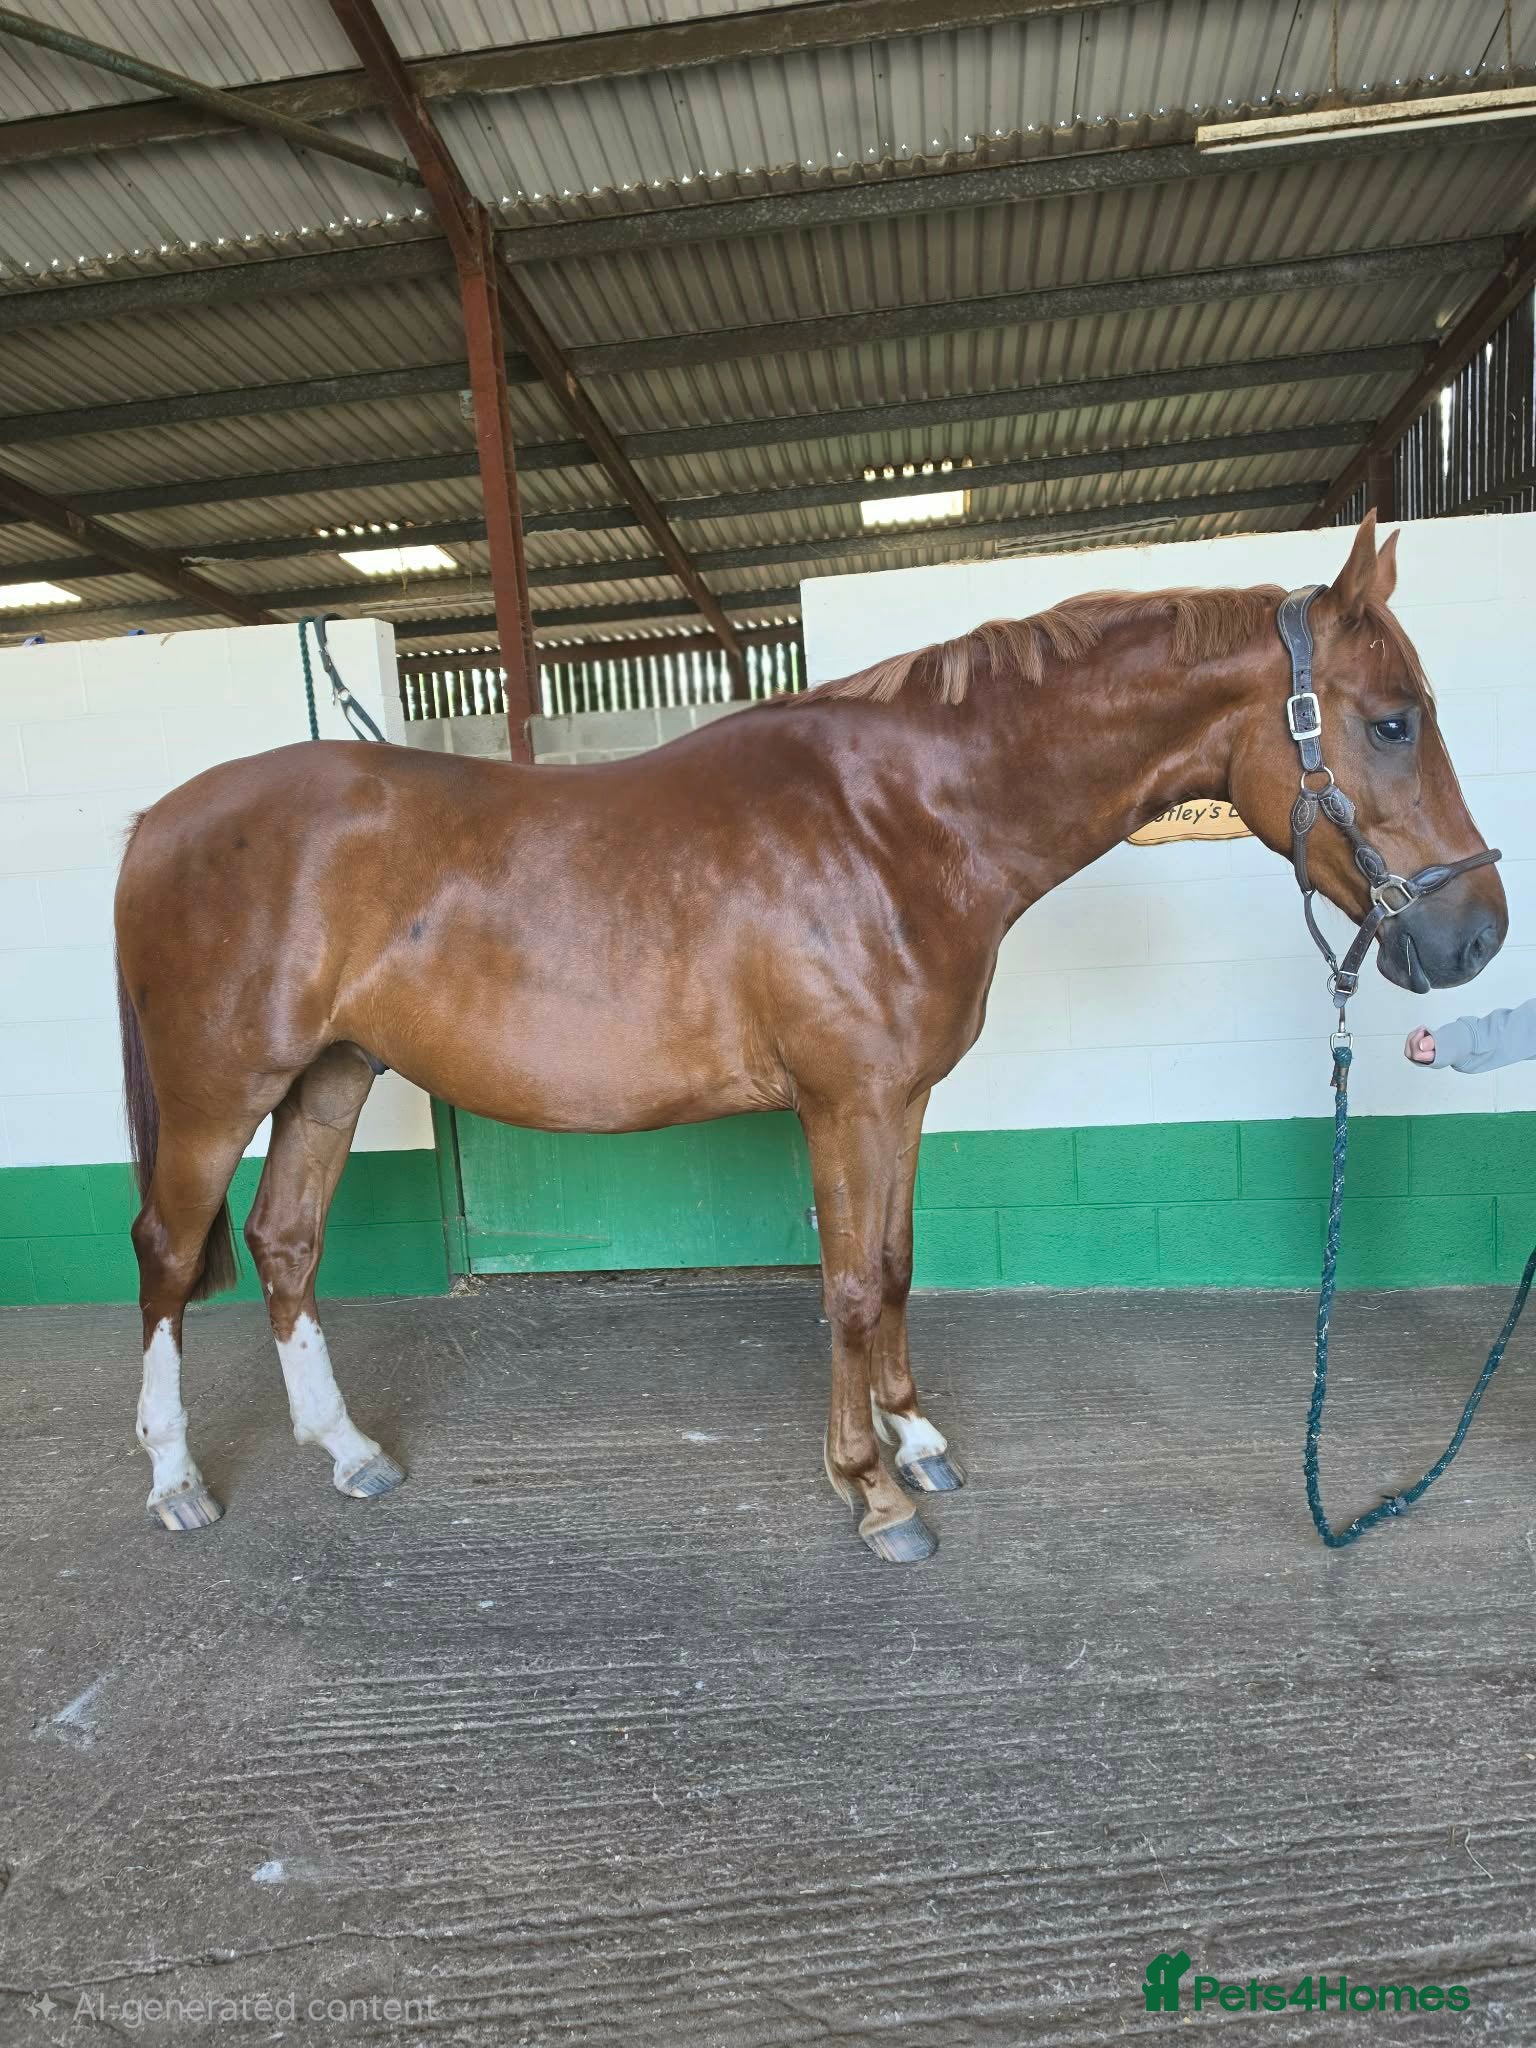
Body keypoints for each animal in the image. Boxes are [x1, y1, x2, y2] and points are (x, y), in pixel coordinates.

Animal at [114, 515, 1506, 1562]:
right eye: (1393, 720)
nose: (1477, 935)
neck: (899, 819)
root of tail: (155, 822)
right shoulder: (845, 1101)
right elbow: (842, 1284)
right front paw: (871, 1490)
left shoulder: (902, 1099)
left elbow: (890, 1265)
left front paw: (918, 1441)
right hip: (216, 1094)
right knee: (169, 1254)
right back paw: (174, 1479)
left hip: (331, 1077)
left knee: (284, 1242)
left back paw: (349, 1452)